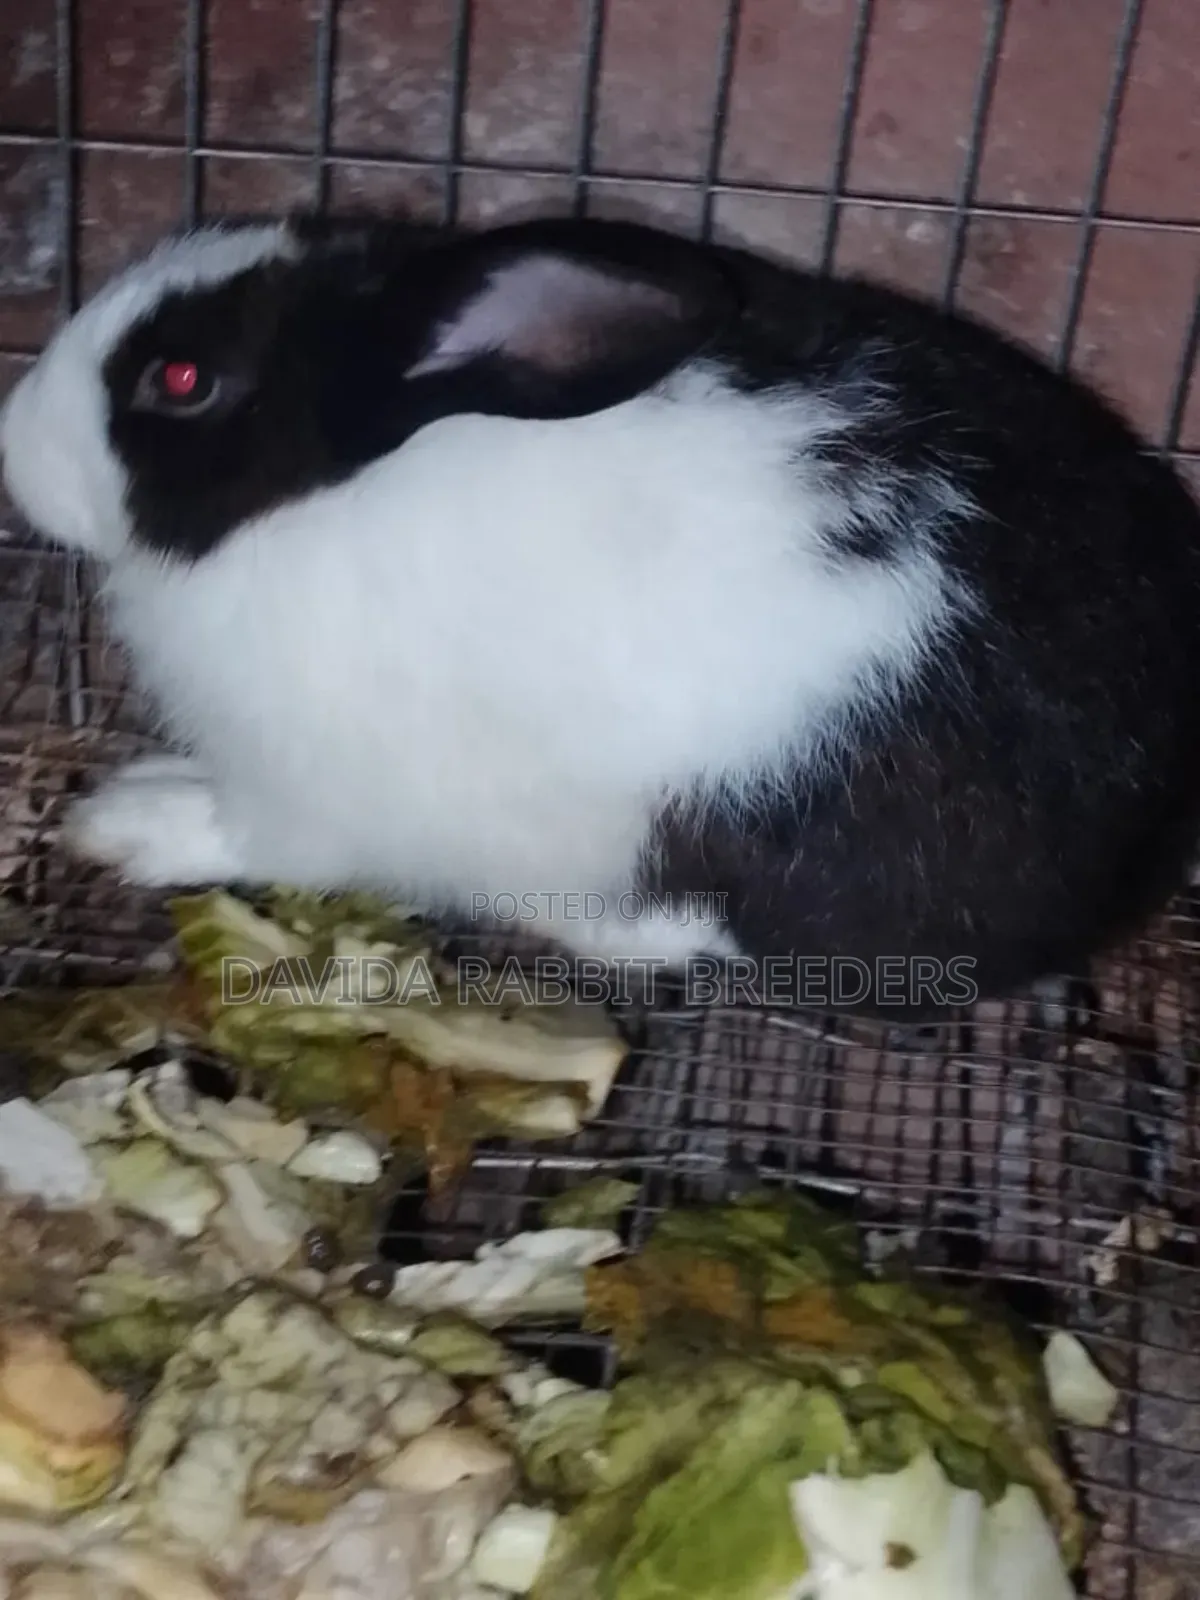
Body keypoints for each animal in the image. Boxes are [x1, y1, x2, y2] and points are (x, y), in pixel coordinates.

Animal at [3, 209, 1200, 1021]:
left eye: (181, 379)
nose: (15, 448)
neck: (322, 494)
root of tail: (1142, 839)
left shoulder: (308, 789)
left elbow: (241, 834)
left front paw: (125, 822)